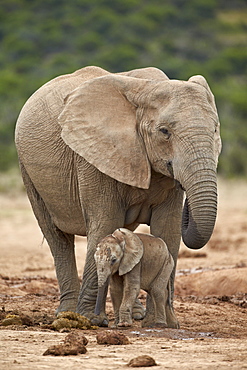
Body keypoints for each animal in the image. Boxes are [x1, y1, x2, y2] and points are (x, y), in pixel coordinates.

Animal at [14, 66, 221, 326]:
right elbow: (106, 223)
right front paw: (91, 320)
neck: (146, 88)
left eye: (215, 129)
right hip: (28, 171)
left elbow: (168, 231)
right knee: (57, 237)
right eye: (164, 132)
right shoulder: (94, 155)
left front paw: (165, 324)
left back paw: (136, 314)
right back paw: (67, 314)